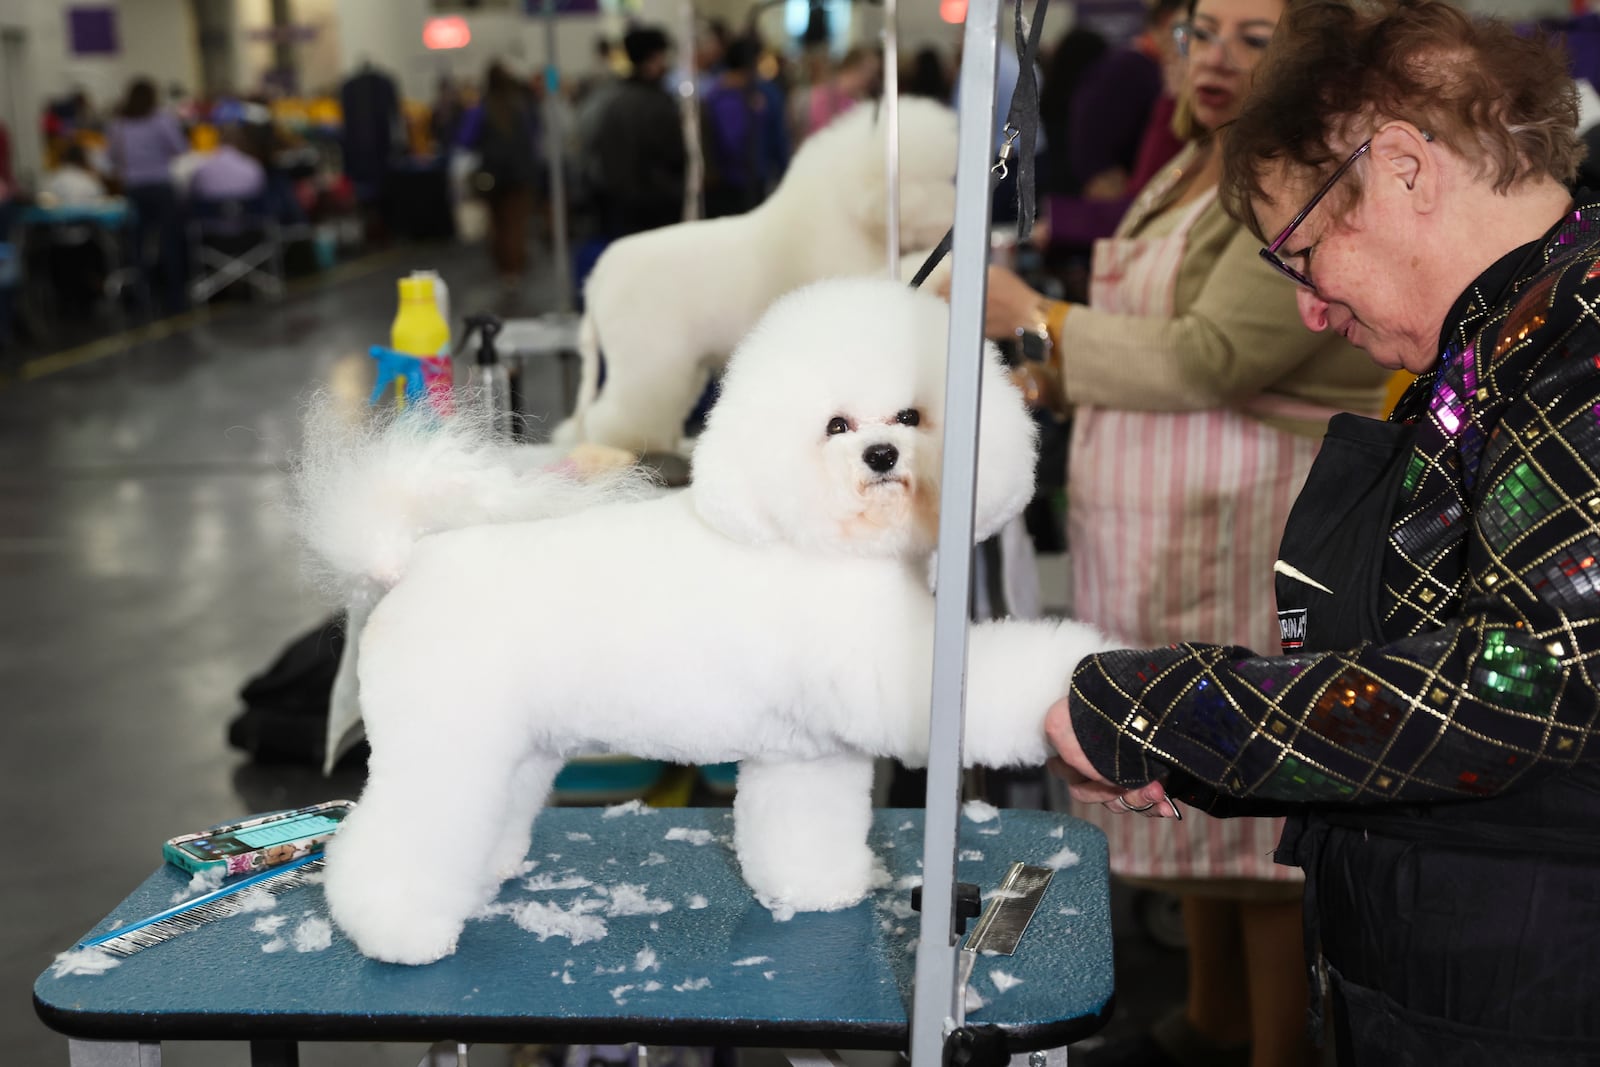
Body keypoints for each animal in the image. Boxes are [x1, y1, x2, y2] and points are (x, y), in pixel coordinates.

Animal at [300, 278, 1113, 966]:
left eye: (912, 417)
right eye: (837, 425)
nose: (882, 455)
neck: (819, 538)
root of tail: (407, 561)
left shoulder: (809, 755)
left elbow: (805, 828)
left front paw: (820, 888)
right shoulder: (895, 681)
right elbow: (996, 681)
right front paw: (1081, 676)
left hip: (513, 748)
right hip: (443, 746)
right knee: (387, 843)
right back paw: (399, 931)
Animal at [556, 94, 953, 454]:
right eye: (942, 180)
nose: (955, 213)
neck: (848, 218)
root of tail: (597, 278)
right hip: (649, 358)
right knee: (619, 413)